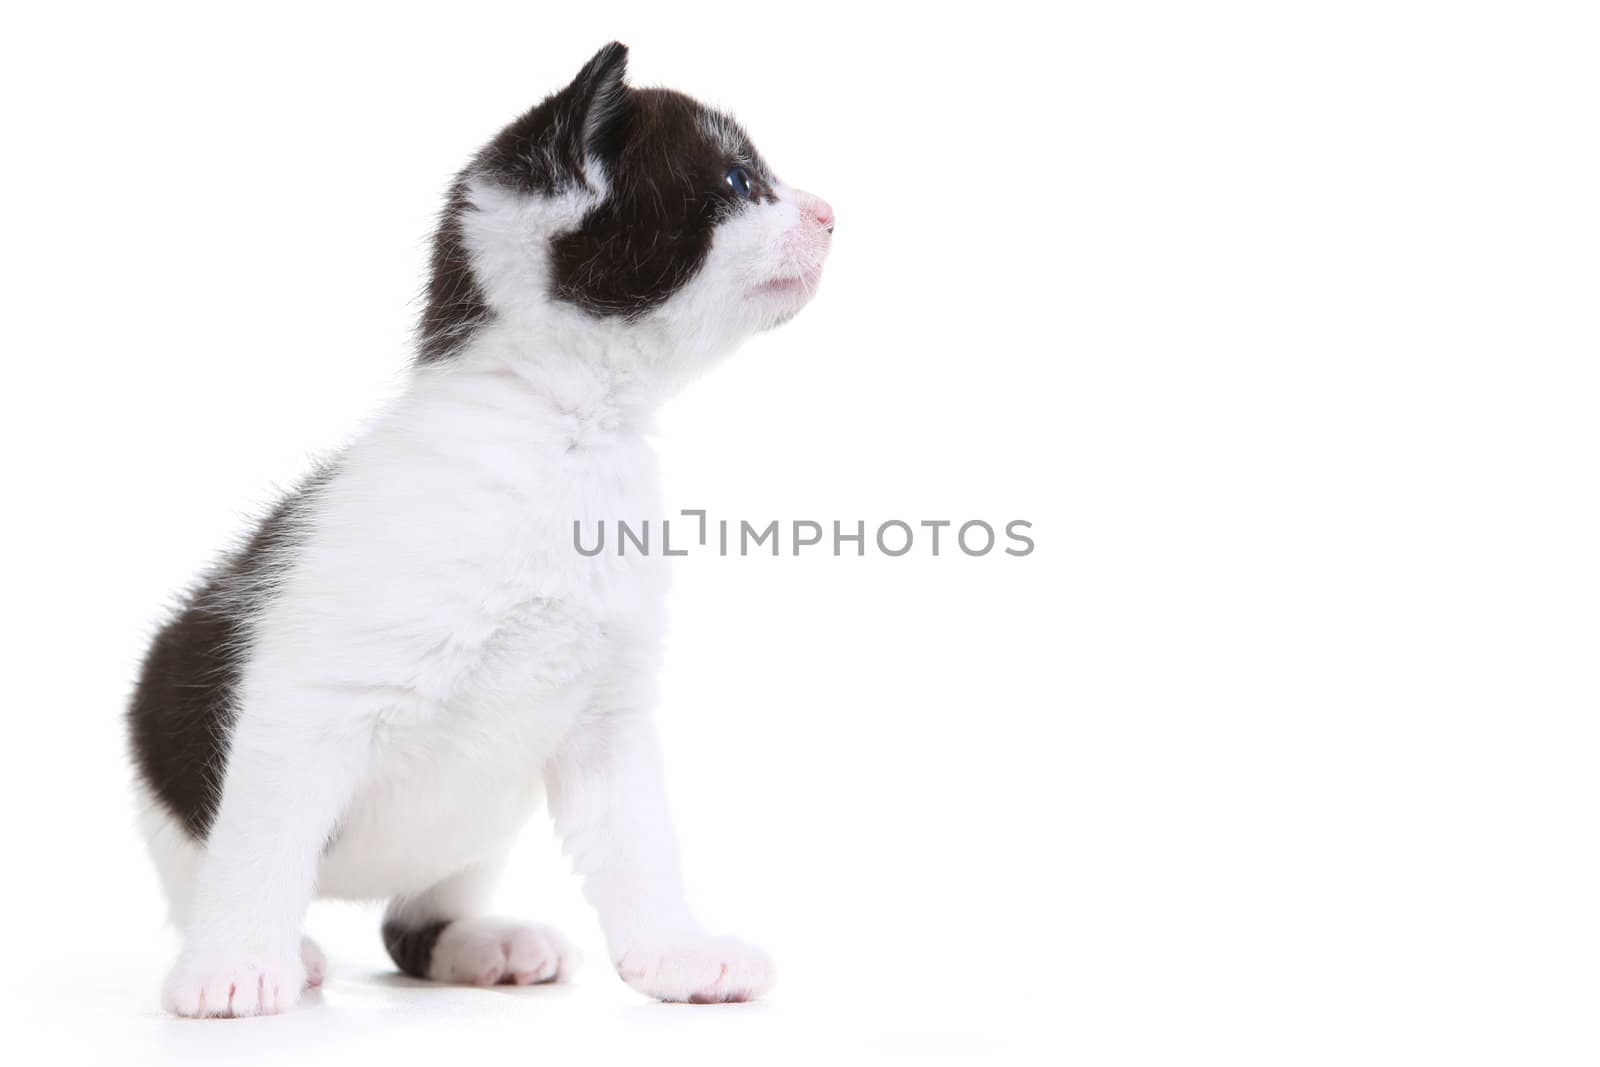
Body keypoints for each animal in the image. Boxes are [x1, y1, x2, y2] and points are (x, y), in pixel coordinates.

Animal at [128, 43, 838, 1017]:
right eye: (738, 180)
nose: (829, 212)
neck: (567, 434)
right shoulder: (303, 700)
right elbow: (263, 841)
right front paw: (234, 965)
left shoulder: (608, 716)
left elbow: (640, 845)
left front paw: (677, 952)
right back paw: (286, 949)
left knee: (411, 923)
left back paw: (479, 942)